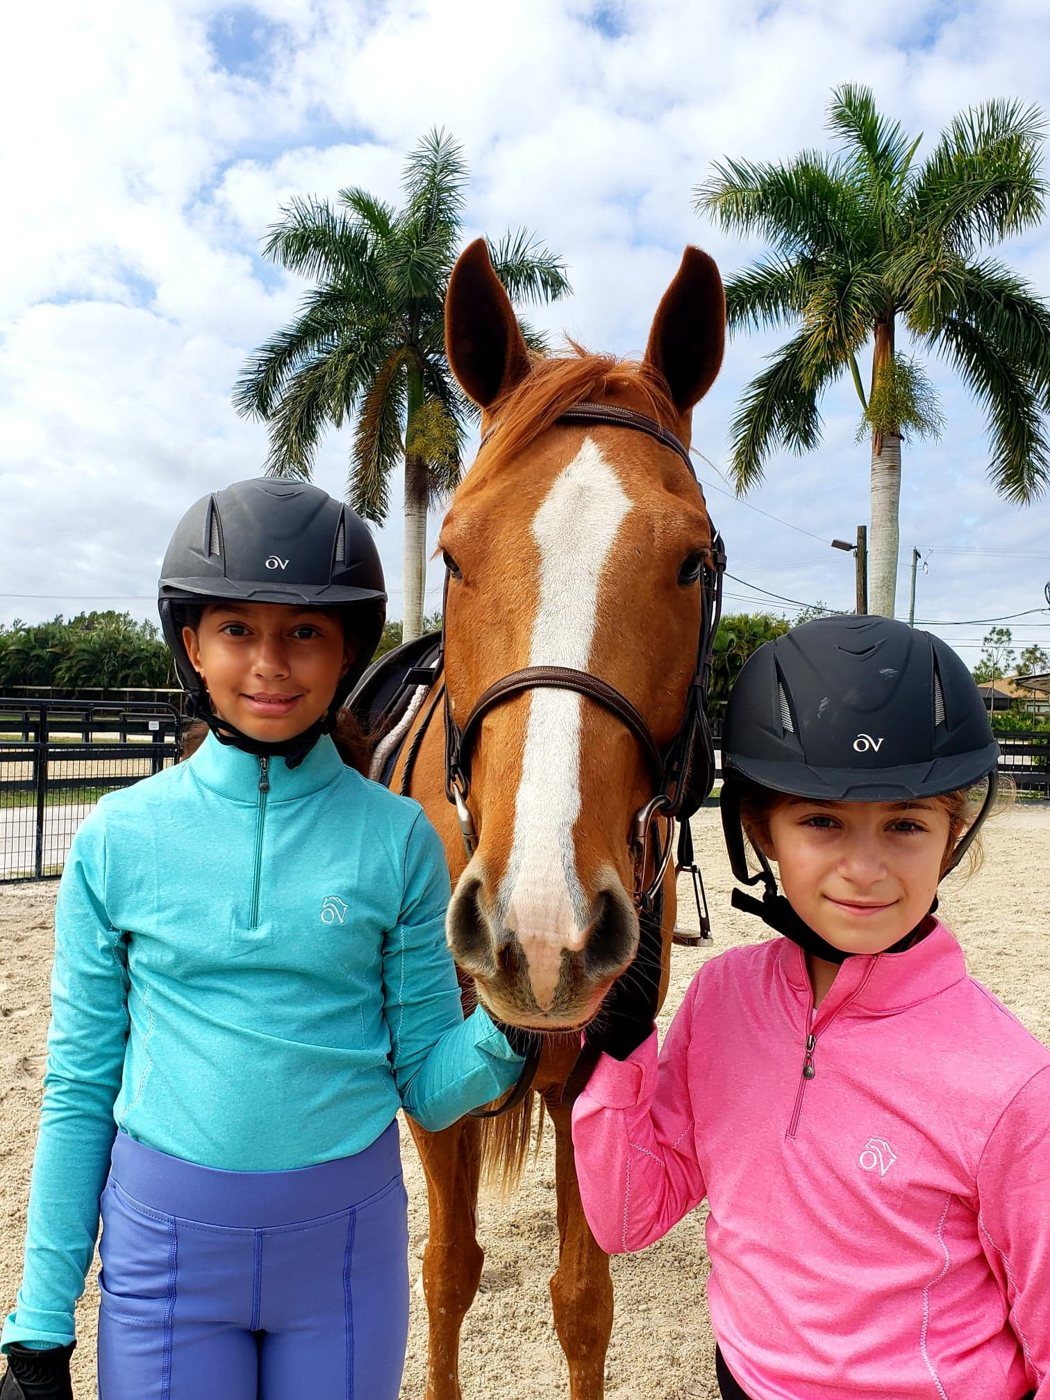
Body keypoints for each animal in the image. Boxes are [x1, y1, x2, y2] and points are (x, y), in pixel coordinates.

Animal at [361, 238, 725, 1399]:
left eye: (694, 559)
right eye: (453, 552)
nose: (541, 927)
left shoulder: (589, 1075)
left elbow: (581, 1301)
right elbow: (446, 1273)